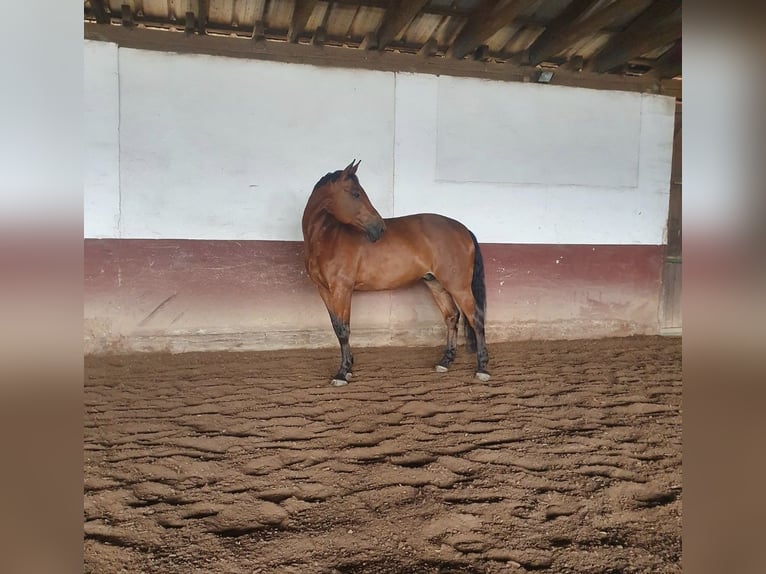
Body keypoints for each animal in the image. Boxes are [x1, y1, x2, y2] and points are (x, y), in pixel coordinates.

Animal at [302, 160, 492, 390]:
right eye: (356, 193)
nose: (380, 228)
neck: (327, 239)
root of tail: (463, 230)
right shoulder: (324, 291)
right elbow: (337, 327)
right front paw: (349, 367)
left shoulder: (342, 289)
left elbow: (344, 329)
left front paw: (342, 372)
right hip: (436, 284)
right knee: (452, 316)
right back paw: (445, 362)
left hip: (459, 287)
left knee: (476, 319)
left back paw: (482, 369)